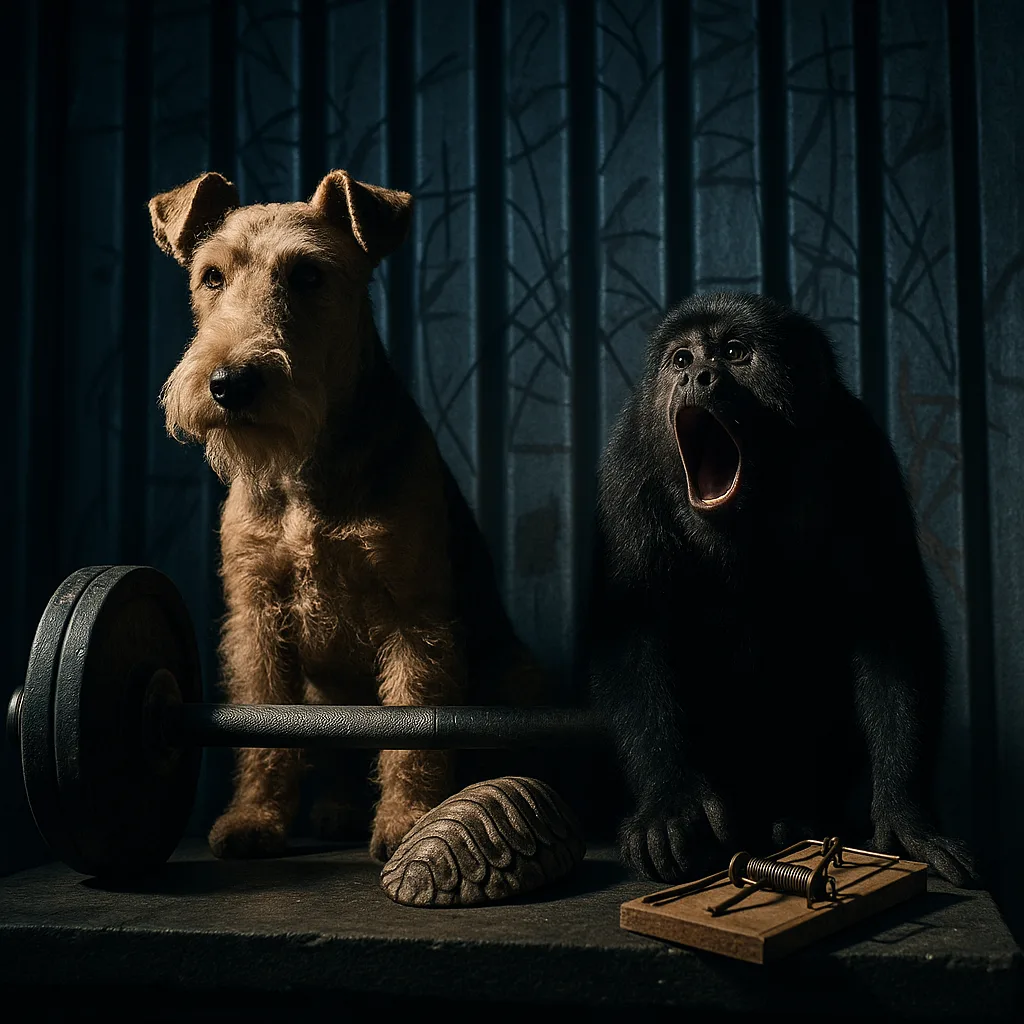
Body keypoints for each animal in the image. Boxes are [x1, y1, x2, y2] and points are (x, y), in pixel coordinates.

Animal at [587, 291, 977, 888]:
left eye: (733, 352)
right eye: (680, 359)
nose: (696, 376)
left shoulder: (864, 454)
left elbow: (891, 625)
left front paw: (908, 816)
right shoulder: (626, 470)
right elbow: (630, 630)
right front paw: (667, 804)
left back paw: (795, 816)